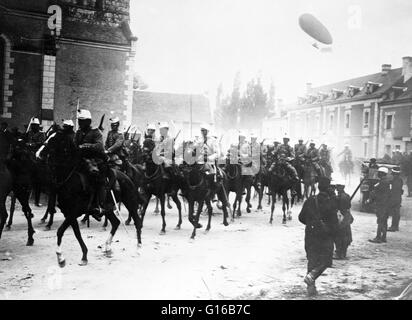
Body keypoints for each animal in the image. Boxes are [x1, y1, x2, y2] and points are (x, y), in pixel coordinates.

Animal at [39, 129, 143, 266]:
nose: (38, 153)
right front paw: (83, 256)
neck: (69, 179)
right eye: (48, 136)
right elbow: (76, 233)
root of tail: (127, 177)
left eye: (54, 139)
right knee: (115, 222)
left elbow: (60, 231)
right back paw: (107, 247)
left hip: (130, 202)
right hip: (108, 208)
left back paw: (138, 248)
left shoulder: (73, 212)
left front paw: (60, 257)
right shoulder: (69, 214)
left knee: (137, 222)